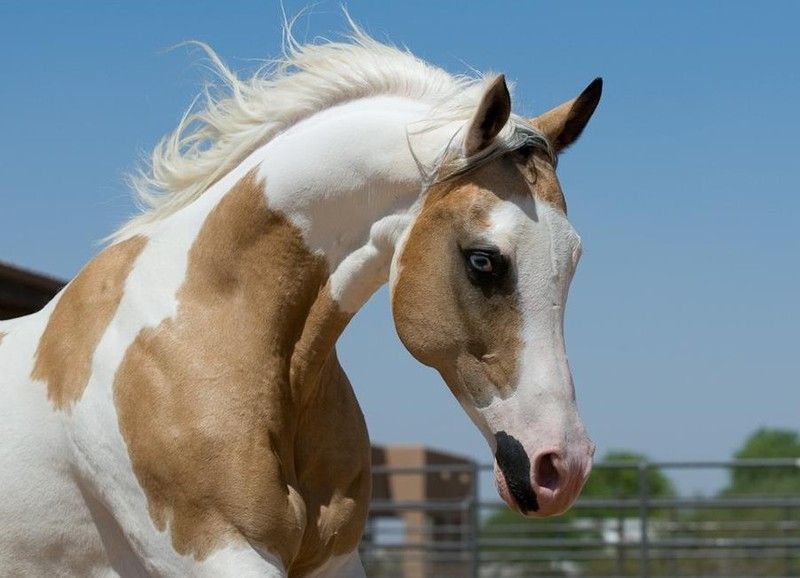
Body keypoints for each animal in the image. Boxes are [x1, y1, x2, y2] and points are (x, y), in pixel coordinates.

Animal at [0, 27, 601, 578]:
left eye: (574, 258)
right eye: (483, 260)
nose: (561, 467)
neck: (203, 330)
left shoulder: (333, 559)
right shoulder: (221, 552)